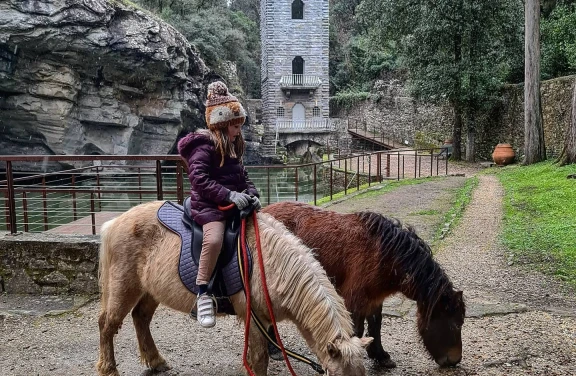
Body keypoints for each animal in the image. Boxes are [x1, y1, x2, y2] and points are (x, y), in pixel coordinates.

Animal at [96, 201, 372, 376]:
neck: (270, 264)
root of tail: (116, 222)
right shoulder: (255, 317)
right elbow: (259, 359)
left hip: (150, 290)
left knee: (140, 317)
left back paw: (156, 361)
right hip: (124, 286)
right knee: (107, 324)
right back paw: (109, 369)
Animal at [264, 201, 466, 368]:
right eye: (456, 325)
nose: (455, 361)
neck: (384, 254)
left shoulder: (375, 298)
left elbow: (376, 326)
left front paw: (380, 356)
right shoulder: (354, 300)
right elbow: (357, 330)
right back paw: (274, 350)